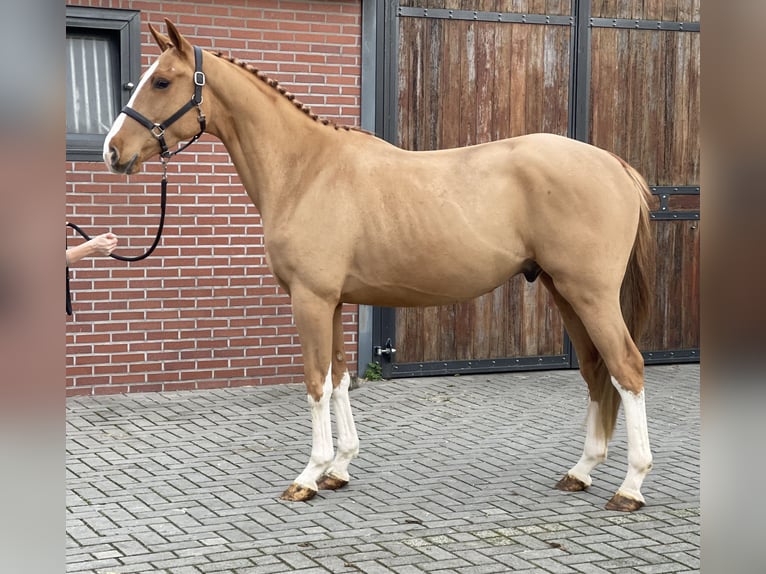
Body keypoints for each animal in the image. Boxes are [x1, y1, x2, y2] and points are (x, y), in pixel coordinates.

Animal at [100, 20, 656, 512]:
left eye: (162, 81)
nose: (112, 152)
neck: (306, 171)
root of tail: (614, 164)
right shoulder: (334, 303)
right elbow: (340, 378)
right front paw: (339, 467)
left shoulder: (310, 300)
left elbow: (316, 383)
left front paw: (309, 475)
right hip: (564, 293)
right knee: (595, 372)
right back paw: (581, 471)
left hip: (590, 294)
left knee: (627, 369)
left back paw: (630, 487)